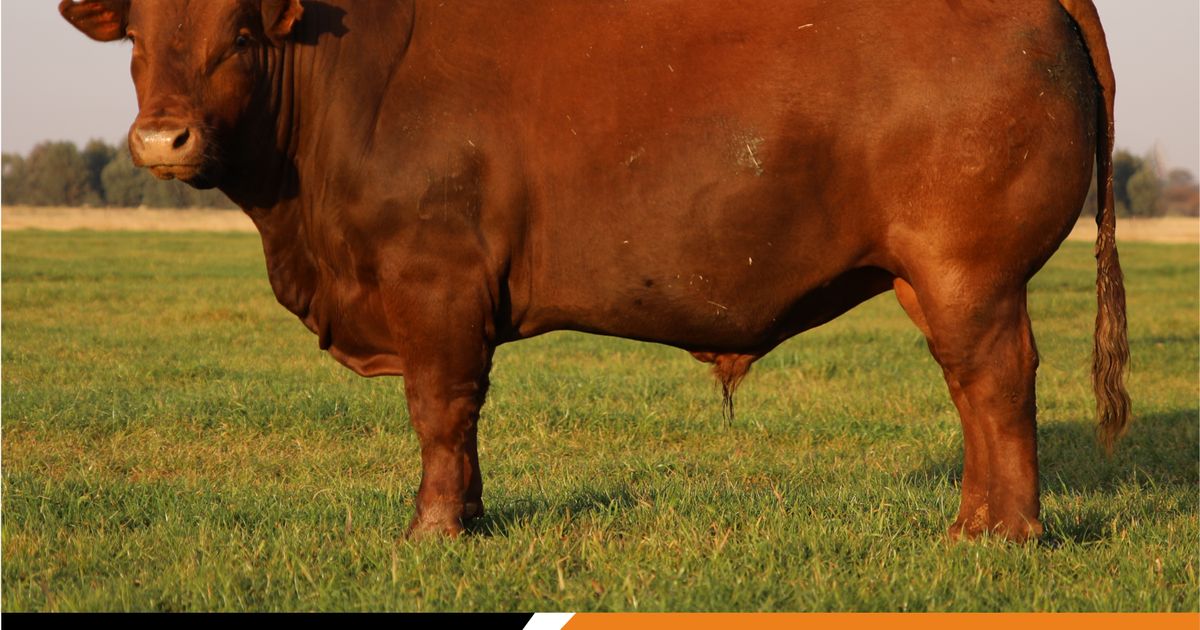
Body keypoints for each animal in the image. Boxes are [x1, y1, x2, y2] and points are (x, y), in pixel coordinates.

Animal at [61, 0, 1129, 542]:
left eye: (239, 32)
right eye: (141, 39)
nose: (161, 138)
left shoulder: (435, 283)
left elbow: (440, 411)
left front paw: (434, 531)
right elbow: (460, 421)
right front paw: (473, 518)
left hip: (969, 271)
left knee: (996, 384)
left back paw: (1003, 536)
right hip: (933, 277)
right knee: (972, 391)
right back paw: (972, 522)